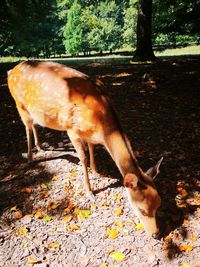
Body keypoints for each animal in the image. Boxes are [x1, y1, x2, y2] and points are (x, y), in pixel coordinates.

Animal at [7, 61, 163, 239]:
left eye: (159, 204)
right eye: (142, 209)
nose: (156, 234)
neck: (100, 122)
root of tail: (11, 70)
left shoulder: (90, 134)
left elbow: (92, 148)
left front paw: (97, 171)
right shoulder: (71, 129)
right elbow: (83, 157)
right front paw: (89, 191)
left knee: (34, 123)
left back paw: (40, 146)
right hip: (19, 104)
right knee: (27, 126)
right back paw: (30, 158)